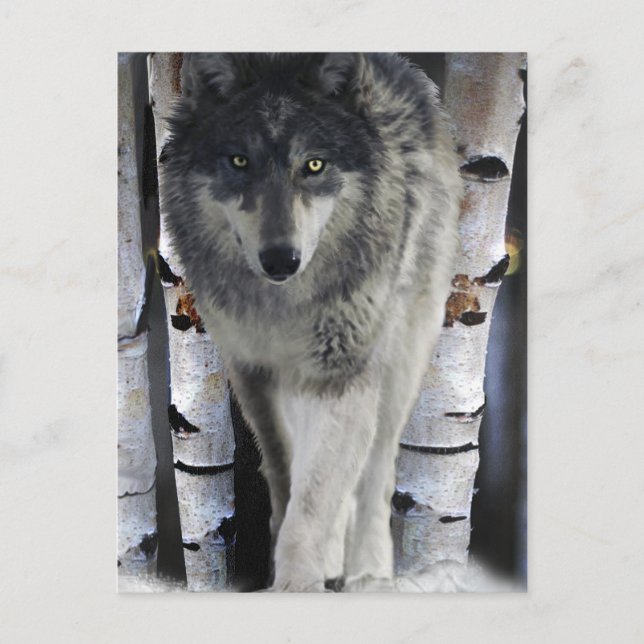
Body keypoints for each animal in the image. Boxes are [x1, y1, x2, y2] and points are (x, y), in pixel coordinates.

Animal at [161, 53, 461, 591]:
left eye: (314, 164)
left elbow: (316, 498)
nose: (282, 259)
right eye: (239, 161)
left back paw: (368, 573)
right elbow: (288, 479)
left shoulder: (340, 374)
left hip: (400, 361)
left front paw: (298, 583)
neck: (284, 308)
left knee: (376, 470)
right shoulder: (253, 374)